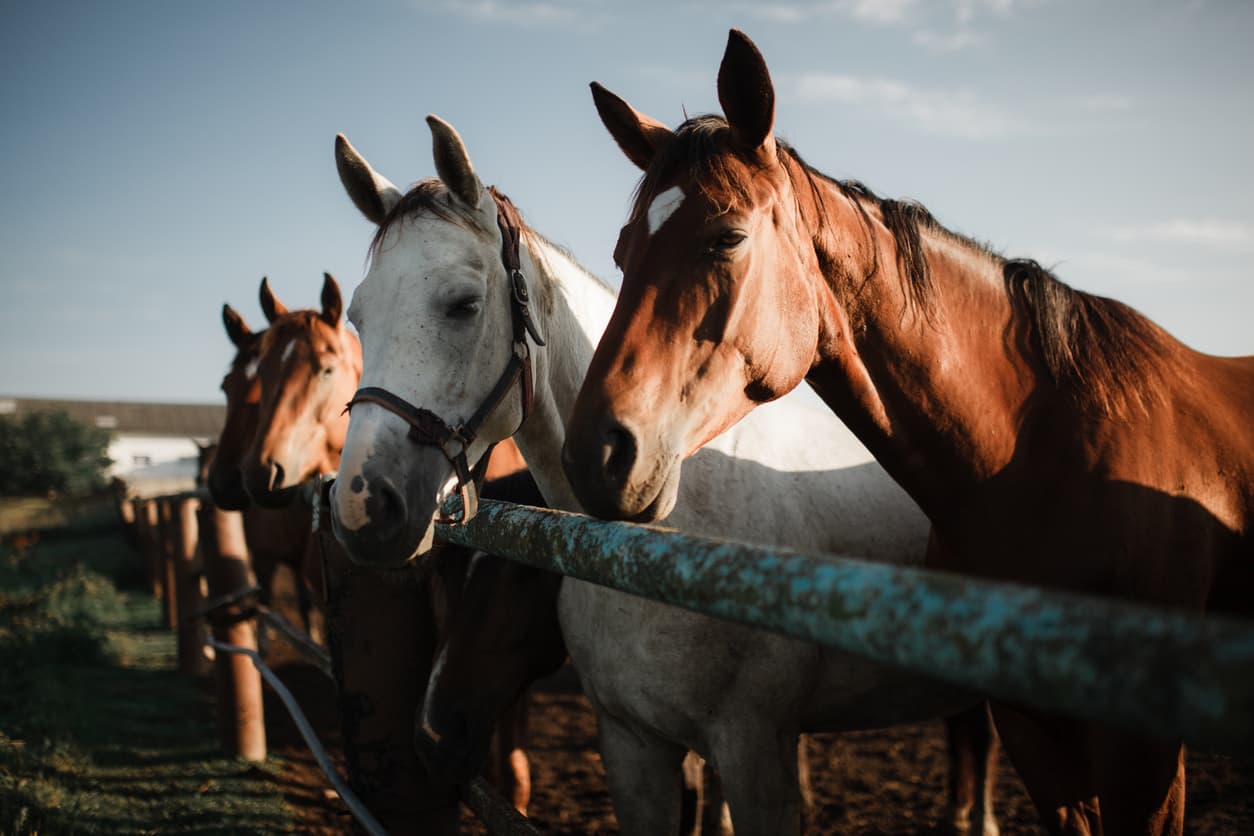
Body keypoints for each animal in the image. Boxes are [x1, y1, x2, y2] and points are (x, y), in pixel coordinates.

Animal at [329, 115, 1002, 836]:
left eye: (462, 305)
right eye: (357, 316)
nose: (363, 504)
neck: (656, 547)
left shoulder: (754, 748)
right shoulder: (633, 743)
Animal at [561, 29, 1254, 836]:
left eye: (727, 236)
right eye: (621, 251)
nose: (596, 453)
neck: (1039, 457)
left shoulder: (1141, 756)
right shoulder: (1032, 733)